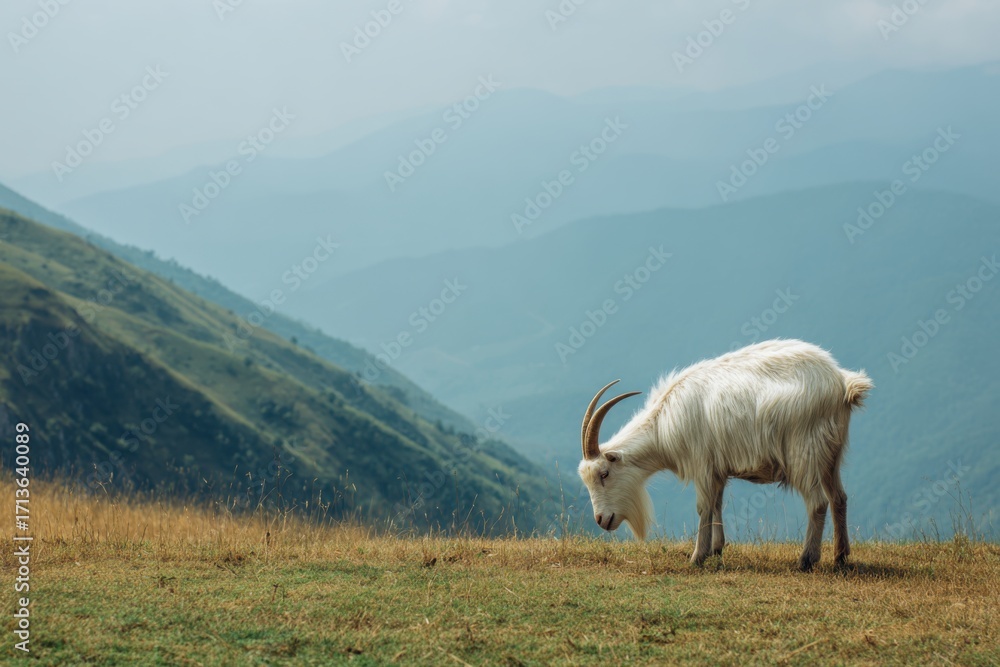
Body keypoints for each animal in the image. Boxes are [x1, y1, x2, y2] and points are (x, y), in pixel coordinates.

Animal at [577, 339, 872, 571]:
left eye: (604, 473)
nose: (601, 520)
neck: (663, 424)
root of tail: (842, 382)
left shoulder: (702, 464)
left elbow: (704, 507)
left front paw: (697, 557)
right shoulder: (717, 468)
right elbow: (717, 504)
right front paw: (717, 549)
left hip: (804, 452)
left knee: (818, 503)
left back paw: (806, 560)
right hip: (831, 455)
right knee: (839, 498)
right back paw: (840, 557)